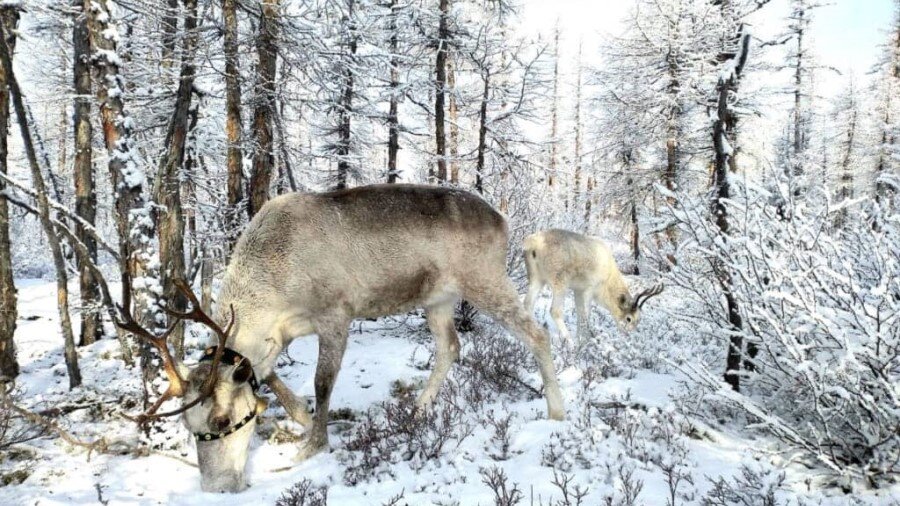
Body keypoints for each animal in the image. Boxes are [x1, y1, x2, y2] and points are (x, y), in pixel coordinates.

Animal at [524, 230, 664, 344]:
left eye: (638, 320)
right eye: (628, 318)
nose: (627, 335)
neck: (609, 277)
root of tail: (534, 244)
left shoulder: (577, 291)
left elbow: (580, 315)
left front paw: (581, 339)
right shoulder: (588, 290)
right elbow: (586, 316)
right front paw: (584, 342)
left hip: (537, 279)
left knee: (528, 304)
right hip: (560, 283)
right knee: (555, 311)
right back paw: (569, 342)